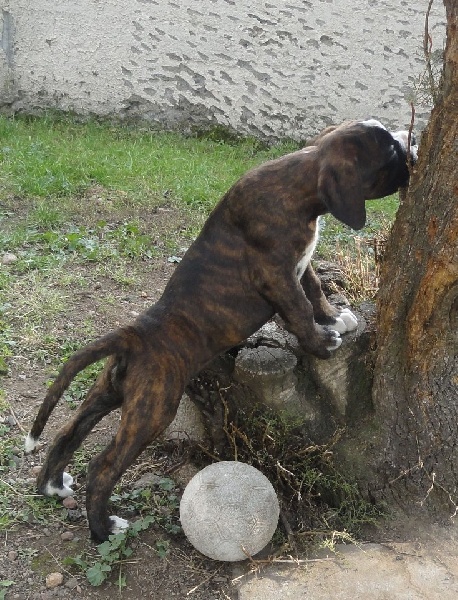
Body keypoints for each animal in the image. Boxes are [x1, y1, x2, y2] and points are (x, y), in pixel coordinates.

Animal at [26, 119, 418, 540]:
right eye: (389, 152)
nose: (412, 141)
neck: (301, 176)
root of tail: (134, 334)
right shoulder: (276, 276)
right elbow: (299, 307)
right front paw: (321, 342)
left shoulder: (300, 266)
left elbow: (313, 288)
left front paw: (334, 318)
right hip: (153, 411)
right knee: (102, 467)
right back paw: (105, 528)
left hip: (110, 393)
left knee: (67, 432)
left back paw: (53, 485)